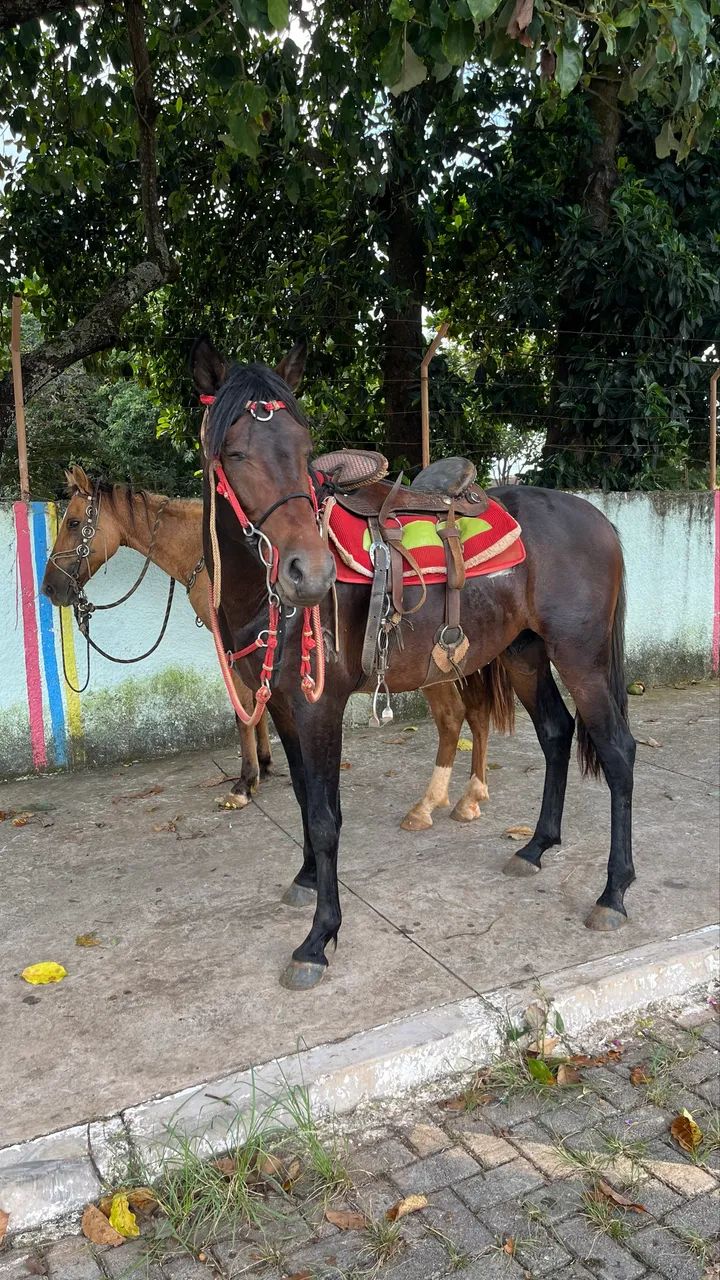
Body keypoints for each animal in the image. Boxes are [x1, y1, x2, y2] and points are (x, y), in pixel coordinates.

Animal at [41, 466, 508, 825]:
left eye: (73, 522)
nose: (50, 589)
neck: (216, 556)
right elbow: (257, 705)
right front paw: (264, 766)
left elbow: (243, 709)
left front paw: (244, 782)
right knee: (476, 714)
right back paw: (472, 796)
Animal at [193, 336, 635, 992]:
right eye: (235, 451)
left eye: (304, 451)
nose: (310, 574)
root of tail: (599, 519)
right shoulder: (284, 706)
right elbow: (300, 795)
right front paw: (306, 881)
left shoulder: (319, 707)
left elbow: (324, 816)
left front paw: (318, 940)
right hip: (526, 655)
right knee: (557, 734)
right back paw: (535, 847)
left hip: (581, 659)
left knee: (617, 752)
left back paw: (613, 894)